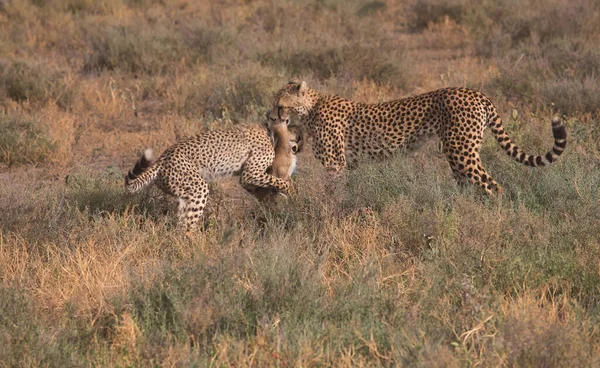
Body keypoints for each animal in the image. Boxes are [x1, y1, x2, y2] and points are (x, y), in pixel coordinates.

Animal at [125, 125, 294, 231]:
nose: (294, 148)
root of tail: (160, 160)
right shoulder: (250, 174)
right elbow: (278, 181)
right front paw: (291, 191)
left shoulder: (248, 178)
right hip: (198, 188)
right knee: (187, 226)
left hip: (185, 193)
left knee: (181, 223)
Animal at [270, 78, 564, 196]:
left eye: (279, 104)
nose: (271, 116)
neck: (310, 108)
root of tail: (475, 92)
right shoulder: (346, 166)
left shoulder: (335, 165)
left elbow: (333, 194)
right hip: (459, 155)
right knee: (472, 185)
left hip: (461, 152)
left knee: (493, 186)